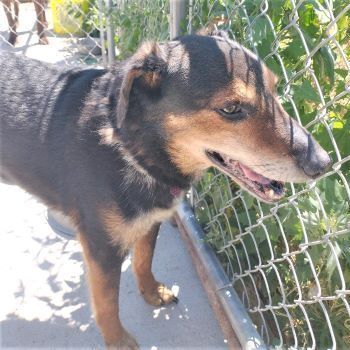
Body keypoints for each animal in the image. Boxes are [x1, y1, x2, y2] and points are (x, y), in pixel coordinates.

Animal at [0, 30, 330, 348]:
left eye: (274, 89)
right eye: (231, 108)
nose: (323, 162)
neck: (132, 148)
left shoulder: (152, 219)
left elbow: (144, 260)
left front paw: (152, 293)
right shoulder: (102, 245)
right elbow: (107, 303)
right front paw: (118, 341)